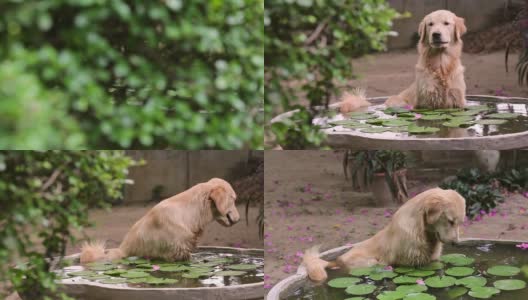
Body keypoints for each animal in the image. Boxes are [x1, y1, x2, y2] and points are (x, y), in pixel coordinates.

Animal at [302, 189, 466, 282]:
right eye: (450, 221)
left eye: (459, 222)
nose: (457, 243)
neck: (422, 230)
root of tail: (336, 261)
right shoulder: (410, 264)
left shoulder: (433, 260)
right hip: (373, 262)